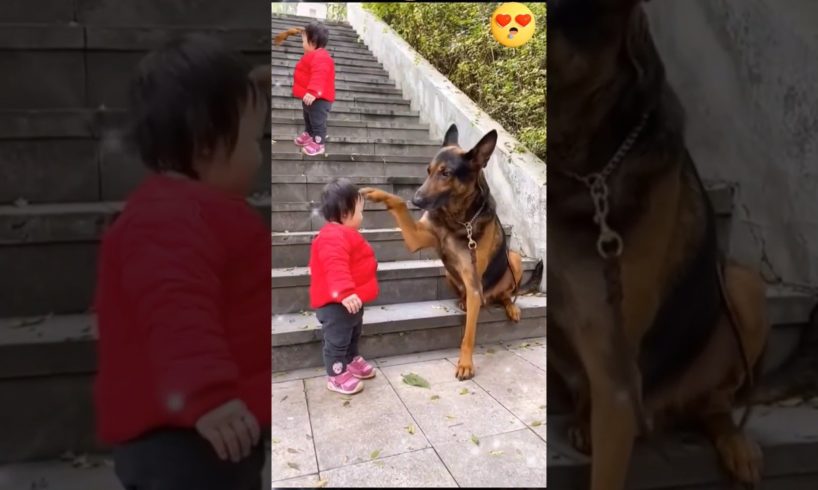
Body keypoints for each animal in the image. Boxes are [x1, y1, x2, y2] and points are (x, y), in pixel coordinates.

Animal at [358, 125, 540, 378]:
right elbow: (398, 203)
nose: (416, 199)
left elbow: (469, 335)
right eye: (428, 171)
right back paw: (463, 302)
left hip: (512, 259)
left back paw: (510, 306)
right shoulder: (416, 238)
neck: (458, 219)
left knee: (507, 294)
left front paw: (465, 364)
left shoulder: (474, 284)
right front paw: (377, 194)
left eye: (446, 174)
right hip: (448, 272)